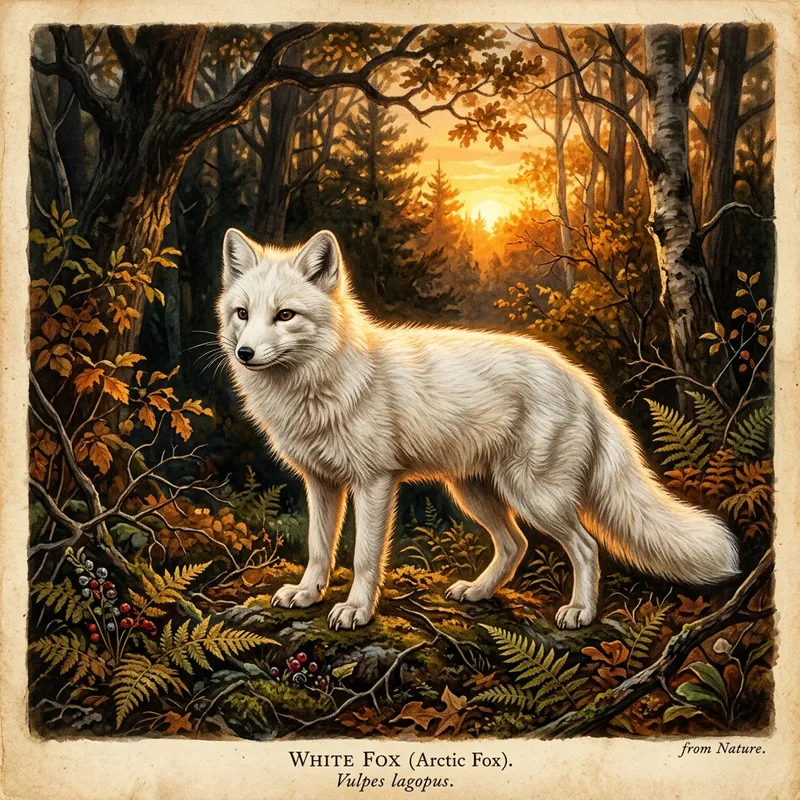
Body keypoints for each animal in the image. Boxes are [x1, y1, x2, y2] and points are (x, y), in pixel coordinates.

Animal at [217, 227, 739, 631]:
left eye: (285, 315)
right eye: (243, 313)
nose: (245, 353)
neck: (322, 383)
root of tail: (582, 381)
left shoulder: (374, 484)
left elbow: (364, 556)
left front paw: (357, 610)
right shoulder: (322, 483)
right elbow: (319, 548)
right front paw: (308, 594)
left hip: (534, 495)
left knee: (586, 547)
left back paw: (579, 612)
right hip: (475, 492)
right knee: (516, 545)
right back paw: (479, 591)